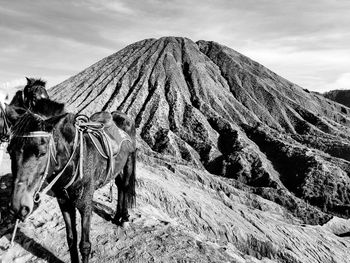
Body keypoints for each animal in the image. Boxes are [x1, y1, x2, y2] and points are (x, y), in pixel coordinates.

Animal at [7, 99, 137, 263]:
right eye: (9, 151)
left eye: (42, 153)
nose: (18, 207)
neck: (74, 160)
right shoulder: (64, 202)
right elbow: (71, 239)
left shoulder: (86, 204)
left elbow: (85, 244)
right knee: (120, 187)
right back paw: (117, 216)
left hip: (129, 163)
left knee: (125, 187)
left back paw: (124, 218)